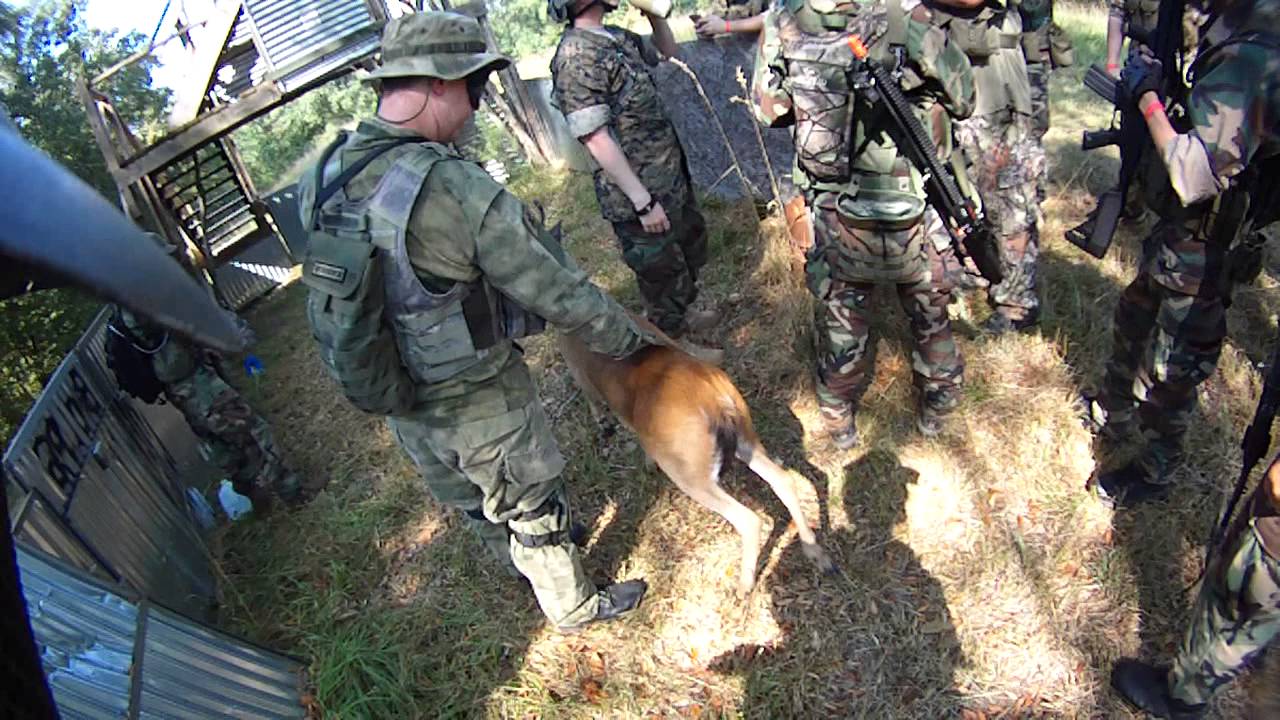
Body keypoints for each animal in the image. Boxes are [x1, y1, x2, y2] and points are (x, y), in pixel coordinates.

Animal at [558, 317, 835, 597]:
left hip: (689, 471)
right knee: (784, 480)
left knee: (748, 519)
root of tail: (717, 398)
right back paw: (816, 552)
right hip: (746, 437)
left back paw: (744, 585)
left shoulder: (584, 378)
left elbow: (600, 408)